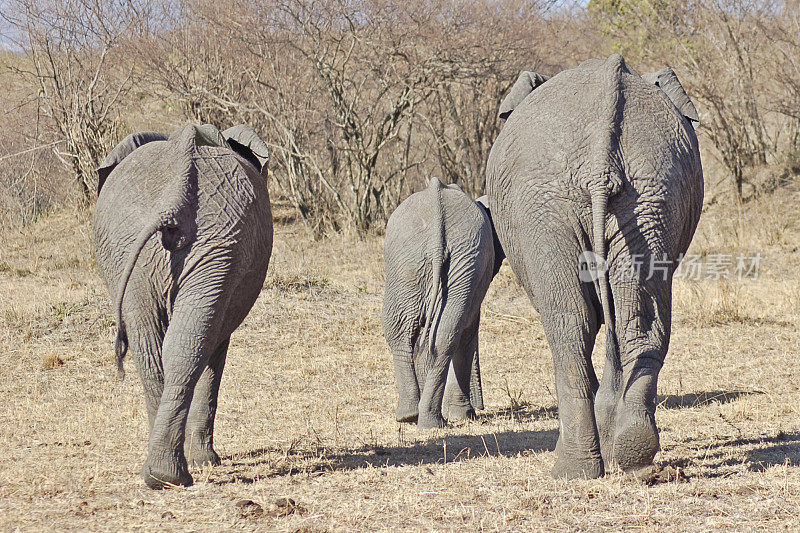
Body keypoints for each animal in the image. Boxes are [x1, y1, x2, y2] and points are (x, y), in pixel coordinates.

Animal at [94, 122, 272, 488]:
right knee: (184, 345)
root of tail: (177, 195)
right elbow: (215, 350)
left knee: (160, 347)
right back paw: (173, 471)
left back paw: (162, 475)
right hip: (205, 244)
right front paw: (208, 462)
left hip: (159, 246)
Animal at [380, 179, 500, 428]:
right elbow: (468, 329)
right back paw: (415, 417)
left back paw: (414, 417)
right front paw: (463, 416)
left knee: (416, 330)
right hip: (417, 260)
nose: (481, 407)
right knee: (437, 332)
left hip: (445, 261)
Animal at [482, 54, 700, 478]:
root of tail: (602, 160)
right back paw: (633, 458)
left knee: (569, 329)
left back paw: (571, 470)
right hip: (649, 197)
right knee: (637, 324)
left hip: (547, 206)